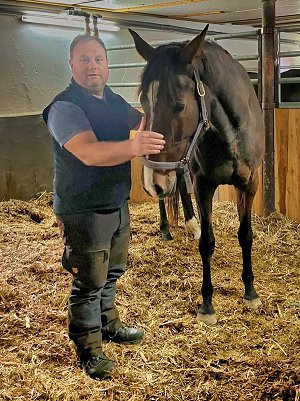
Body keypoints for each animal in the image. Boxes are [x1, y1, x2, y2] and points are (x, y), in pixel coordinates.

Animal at [129, 25, 264, 324]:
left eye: (179, 105)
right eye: (143, 100)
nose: (152, 183)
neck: (229, 134)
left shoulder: (248, 184)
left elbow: (245, 235)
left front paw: (250, 291)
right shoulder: (204, 185)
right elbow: (207, 242)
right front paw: (207, 304)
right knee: (173, 193)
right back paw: (170, 228)